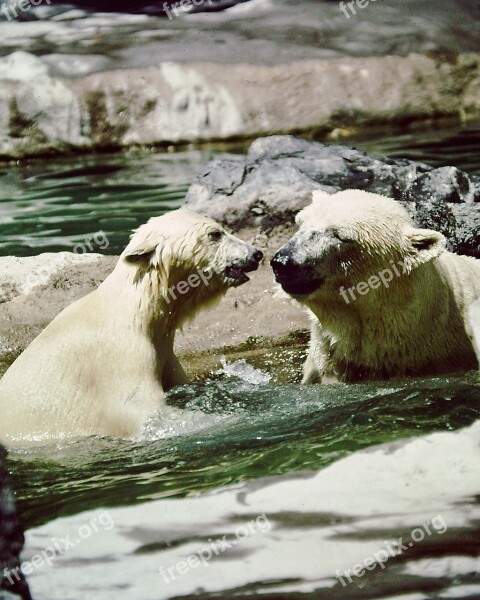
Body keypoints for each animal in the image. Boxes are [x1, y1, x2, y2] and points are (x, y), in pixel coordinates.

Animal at [0, 211, 262, 446]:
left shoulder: (165, 355)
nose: (256, 254)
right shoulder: (120, 359)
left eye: (221, 229)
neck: (135, 311)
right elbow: (146, 414)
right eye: (215, 234)